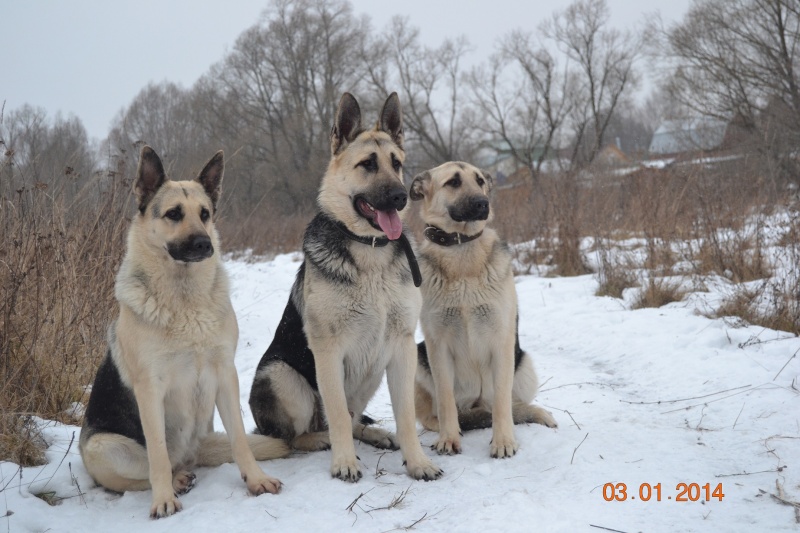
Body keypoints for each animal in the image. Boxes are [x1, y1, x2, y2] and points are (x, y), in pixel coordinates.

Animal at [80, 144, 288, 516]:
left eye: (204, 214)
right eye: (174, 214)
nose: (204, 245)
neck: (185, 300)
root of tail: (192, 455)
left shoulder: (225, 375)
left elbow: (239, 440)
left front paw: (255, 480)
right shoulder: (151, 389)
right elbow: (158, 456)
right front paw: (163, 499)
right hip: (103, 447)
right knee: (149, 468)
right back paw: (175, 481)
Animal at [248, 91, 444, 482]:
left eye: (396, 163)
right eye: (368, 164)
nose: (401, 196)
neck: (370, 248)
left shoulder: (400, 346)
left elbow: (405, 415)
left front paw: (417, 462)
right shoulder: (328, 351)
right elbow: (336, 413)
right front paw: (344, 462)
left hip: (372, 372)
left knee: (354, 420)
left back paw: (375, 434)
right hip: (284, 378)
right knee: (297, 436)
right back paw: (322, 440)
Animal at [406, 161, 556, 458]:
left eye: (480, 181)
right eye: (453, 182)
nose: (483, 203)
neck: (461, 248)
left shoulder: (501, 342)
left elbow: (502, 403)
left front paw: (503, 441)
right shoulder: (437, 346)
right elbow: (445, 401)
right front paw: (449, 438)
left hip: (523, 365)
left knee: (507, 405)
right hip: (419, 357)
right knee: (434, 415)